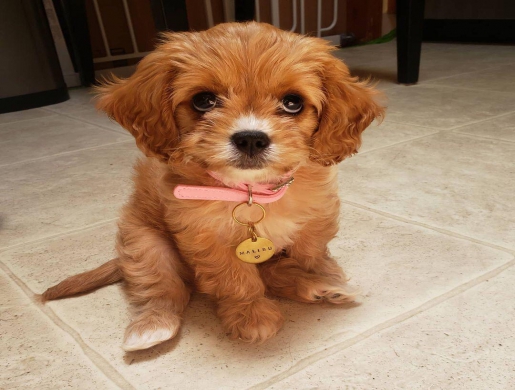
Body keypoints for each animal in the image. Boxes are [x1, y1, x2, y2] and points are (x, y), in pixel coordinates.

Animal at [42, 21, 384, 350]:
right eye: (203, 100)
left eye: (292, 103)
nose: (251, 138)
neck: (250, 191)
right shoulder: (206, 237)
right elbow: (235, 279)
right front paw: (251, 315)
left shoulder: (315, 216)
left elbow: (307, 254)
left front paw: (317, 274)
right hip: (146, 246)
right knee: (162, 289)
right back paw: (152, 327)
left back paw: (322, 288)